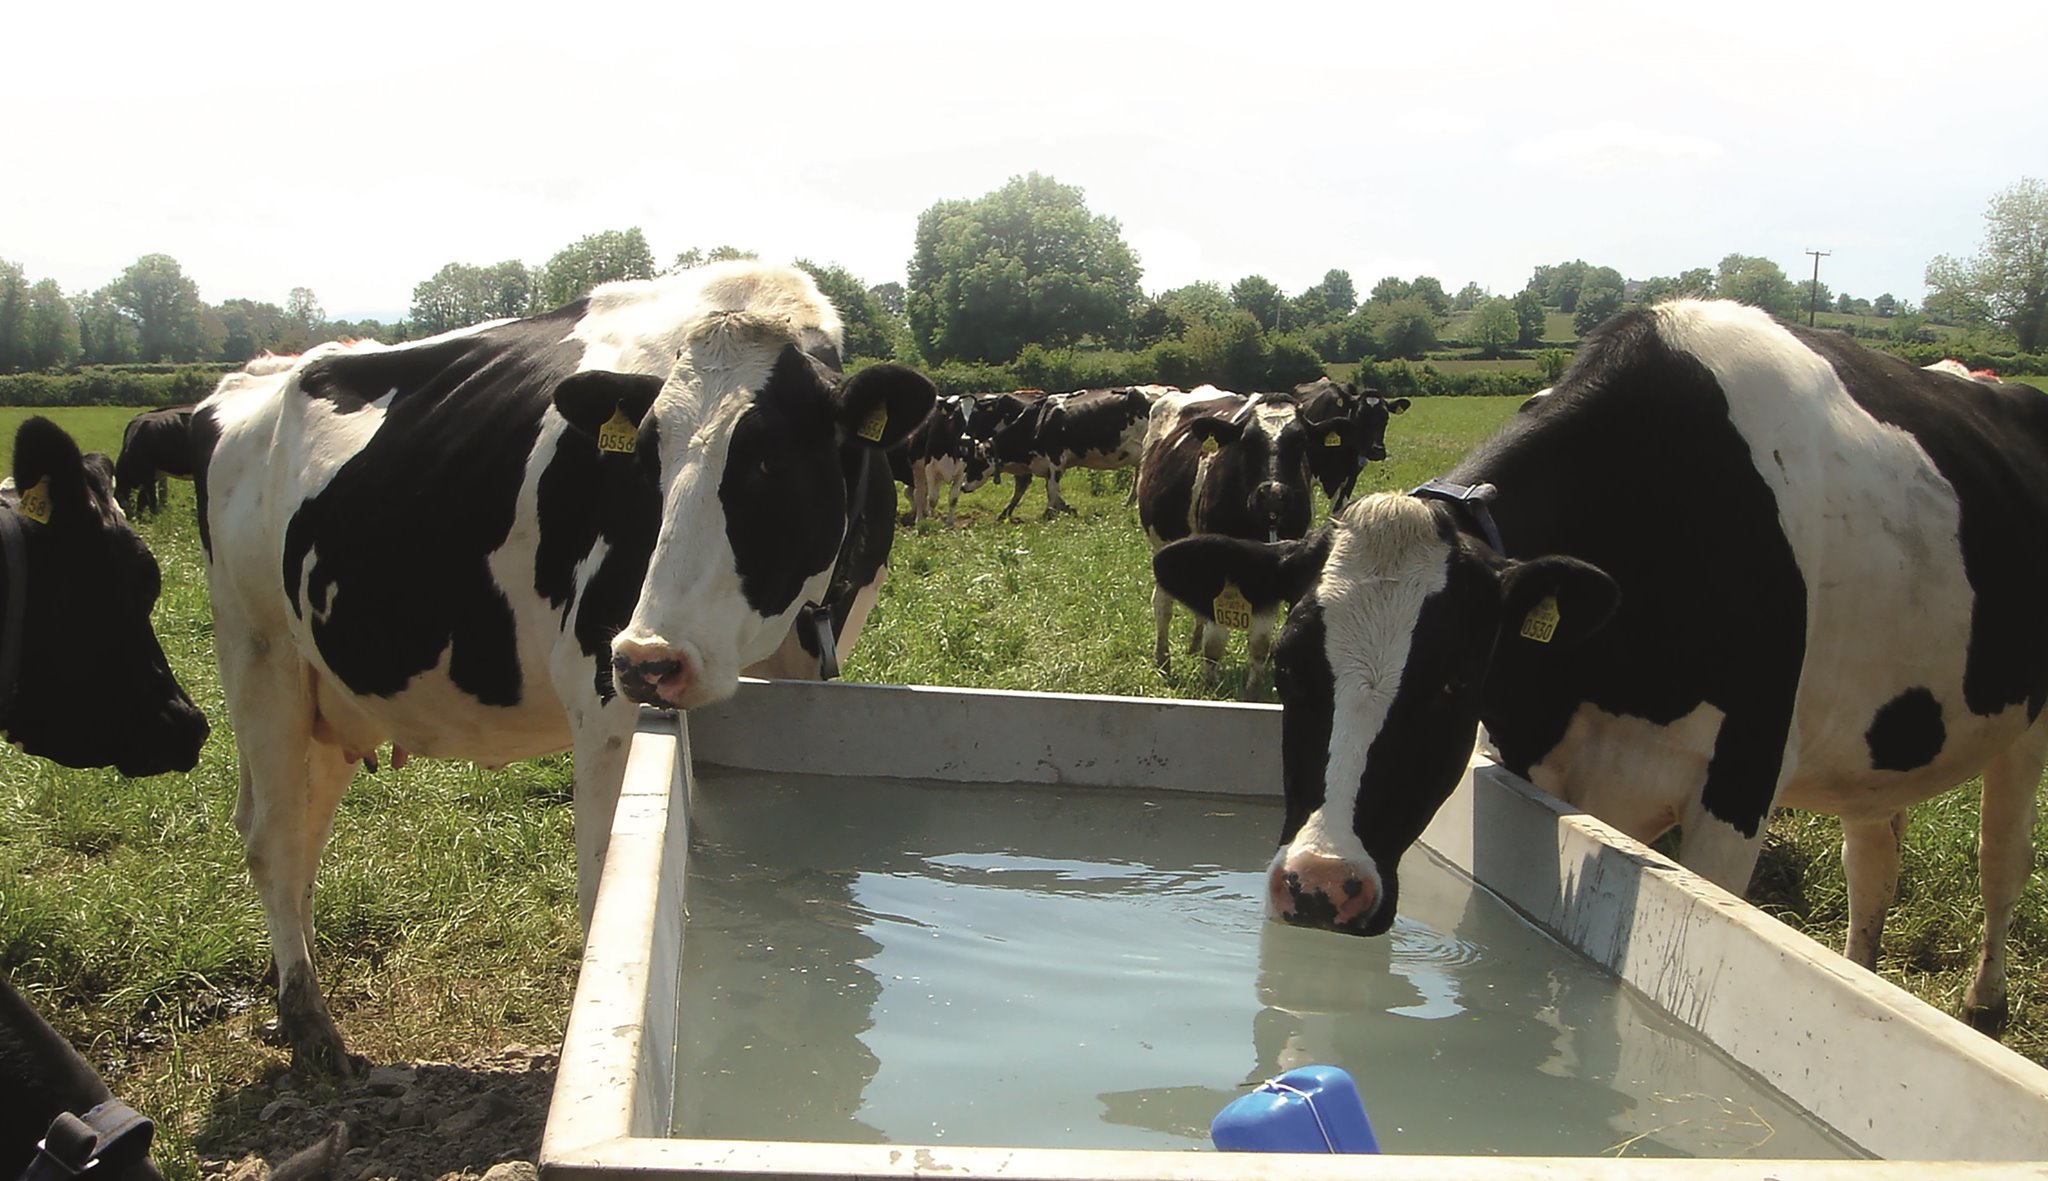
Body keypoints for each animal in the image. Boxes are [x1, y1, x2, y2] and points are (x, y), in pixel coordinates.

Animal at [192, 261, 935, 1075]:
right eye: (643, 460)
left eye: (769, 459)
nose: (649, 657)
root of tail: (253, 378)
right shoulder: (602, 693)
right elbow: (605, 890)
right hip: (257, 653)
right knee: (273, 839)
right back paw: (309, 1024)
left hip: (328, 690)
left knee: (301, 838)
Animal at [1137, 386, 1352, 698]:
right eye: (1247, 442)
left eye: (1300, 442)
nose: (1273, 494)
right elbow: (1215, 641)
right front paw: (1210, 685)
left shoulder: (1272, 569)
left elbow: (1260, 641)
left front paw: (1254, 689)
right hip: (1162, 545)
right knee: (1163, 605)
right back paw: (1163, 659)